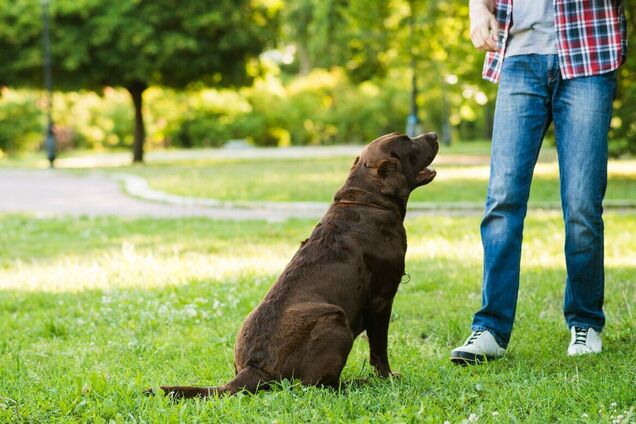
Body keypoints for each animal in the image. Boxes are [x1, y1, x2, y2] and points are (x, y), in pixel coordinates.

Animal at [157, 132, 440, 398]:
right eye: (408, 141)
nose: (435, 135)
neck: (367, 200)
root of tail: (254, 366)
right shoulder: (381, 300)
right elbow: (379, 348)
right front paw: (387, 377)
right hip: (334, 318)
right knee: (318, 385)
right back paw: (359, 383)